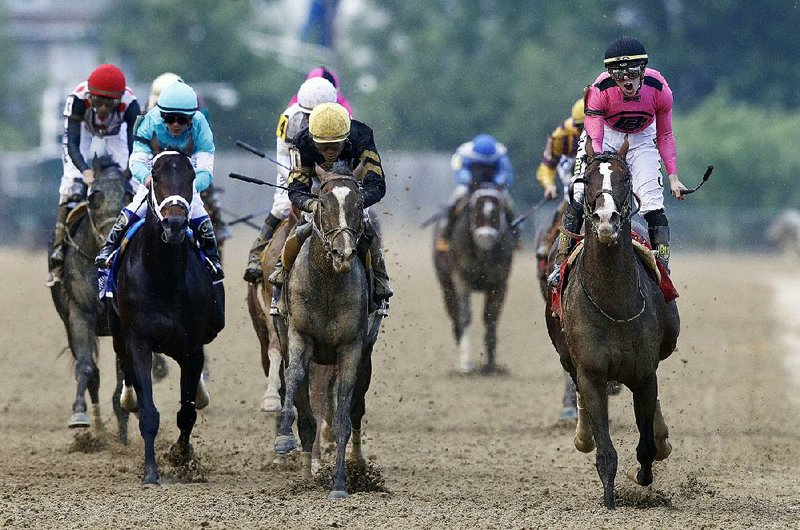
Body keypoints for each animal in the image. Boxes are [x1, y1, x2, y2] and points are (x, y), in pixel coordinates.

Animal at [49, 155, 130, 440]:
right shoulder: (79, 315)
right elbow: (86, 368)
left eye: (129, 194)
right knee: (92, 374)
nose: (112, 240)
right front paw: (79, 415)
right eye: (94, 196)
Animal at [111, 145, 223, 482]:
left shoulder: (191, 348)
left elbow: (187, 412)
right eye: (155, 176)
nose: (174, 224)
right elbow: (148, 412)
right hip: (117, 332)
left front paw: (181, 456)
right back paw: (128, 397)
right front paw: (151, 472)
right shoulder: (139, 341)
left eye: (190, 176)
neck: (163, 278)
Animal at [274, 162, 382, 500]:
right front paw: (285, 440)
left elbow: (344, 415)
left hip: (366, 356)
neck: (327, 285)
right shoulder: (298, 335)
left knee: (357, 407)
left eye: (359, 204)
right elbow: (296, 379)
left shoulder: (351, 347)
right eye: (322, 202)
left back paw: (357, 462)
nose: (343, 253)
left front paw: (339, 483)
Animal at [434, 184, 516, 374]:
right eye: (474, 208)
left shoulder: (499, 283)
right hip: (447, 287)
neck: (482, 254)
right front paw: (466, 364)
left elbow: (491, 318)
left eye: (497, 210)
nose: (485, 239)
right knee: (455, 316)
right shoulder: (461, 278)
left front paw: (491, 365)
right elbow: (465, 316)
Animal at [544, 139, 680, 508]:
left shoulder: (644, 374)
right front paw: (609, 500)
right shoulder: (591, 373)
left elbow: (646, 446)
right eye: (587, 179)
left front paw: (642, 475)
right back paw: (582, 434)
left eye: (625, 178)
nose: (607, 219)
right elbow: (606, 452)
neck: (613, 303)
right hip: (565, 355)